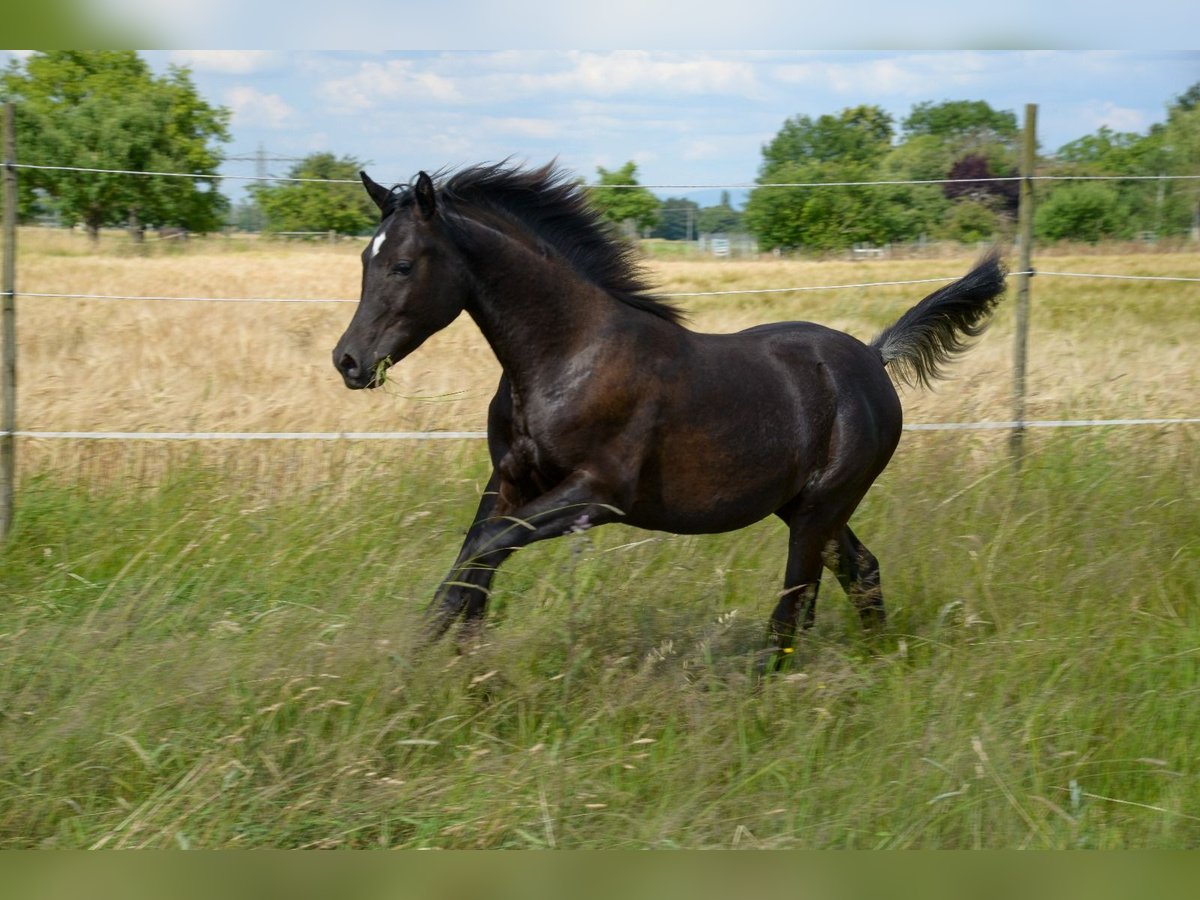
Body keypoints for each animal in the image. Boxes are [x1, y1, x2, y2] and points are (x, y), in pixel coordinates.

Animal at [333, 164, 1008, 672]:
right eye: (363, 261)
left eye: (402, 265)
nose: (349, 361)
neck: (569, 355)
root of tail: (872, 357)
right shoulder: (511, 479)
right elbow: (475, 558)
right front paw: (450, 665)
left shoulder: (596, 494)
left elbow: (484, 549)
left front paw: (422, 668)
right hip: (806, 506)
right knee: (859, 571)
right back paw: (876, 664)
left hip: (821, 507)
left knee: (797, 602)